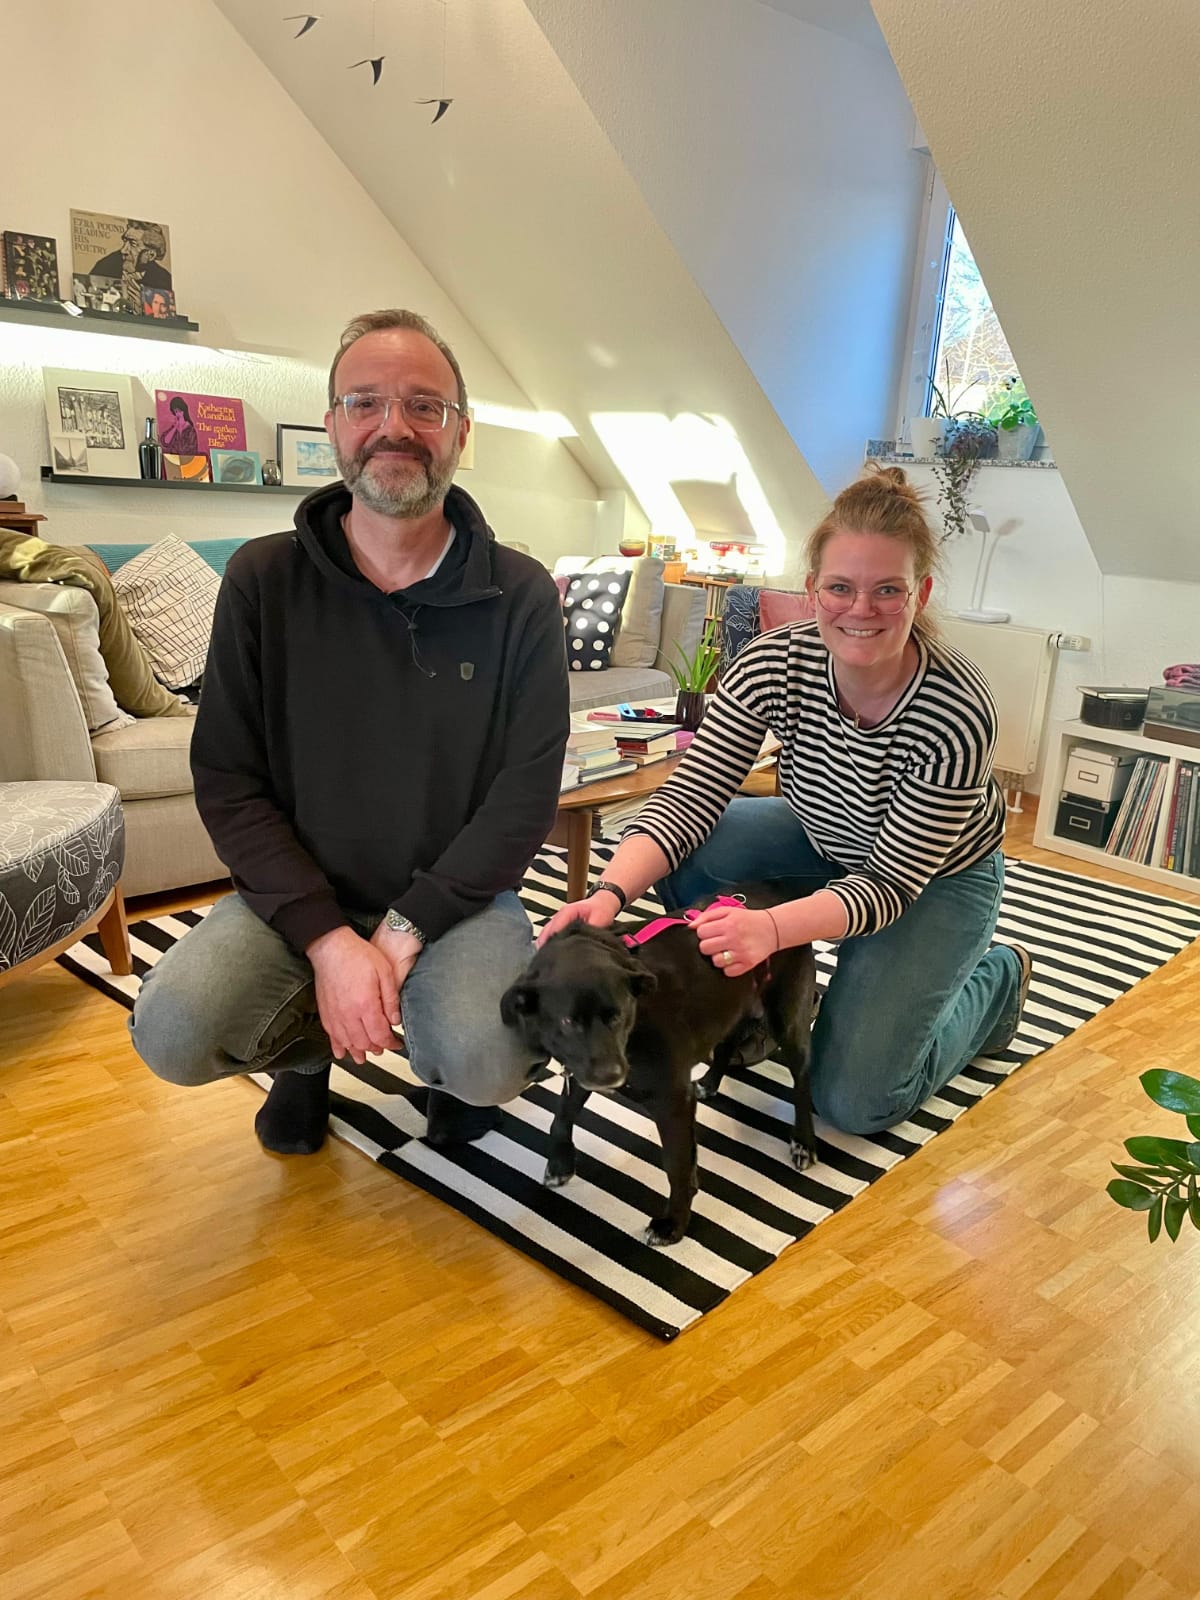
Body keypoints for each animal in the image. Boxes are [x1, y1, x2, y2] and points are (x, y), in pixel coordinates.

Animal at [500, 888, 817, 1246]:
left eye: (619, 1015)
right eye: (568, 1022)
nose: (612, 1075)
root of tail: (785, 894)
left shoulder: (672, 1102)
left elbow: (678, 1166)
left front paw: (673, 1224)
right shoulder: (582, 1071)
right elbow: (561, 1117)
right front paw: (560, 1163)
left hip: (786, 1018)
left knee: (802, 1078)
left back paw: (804, 1142)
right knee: (725, 1045)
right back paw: (709, 1082)